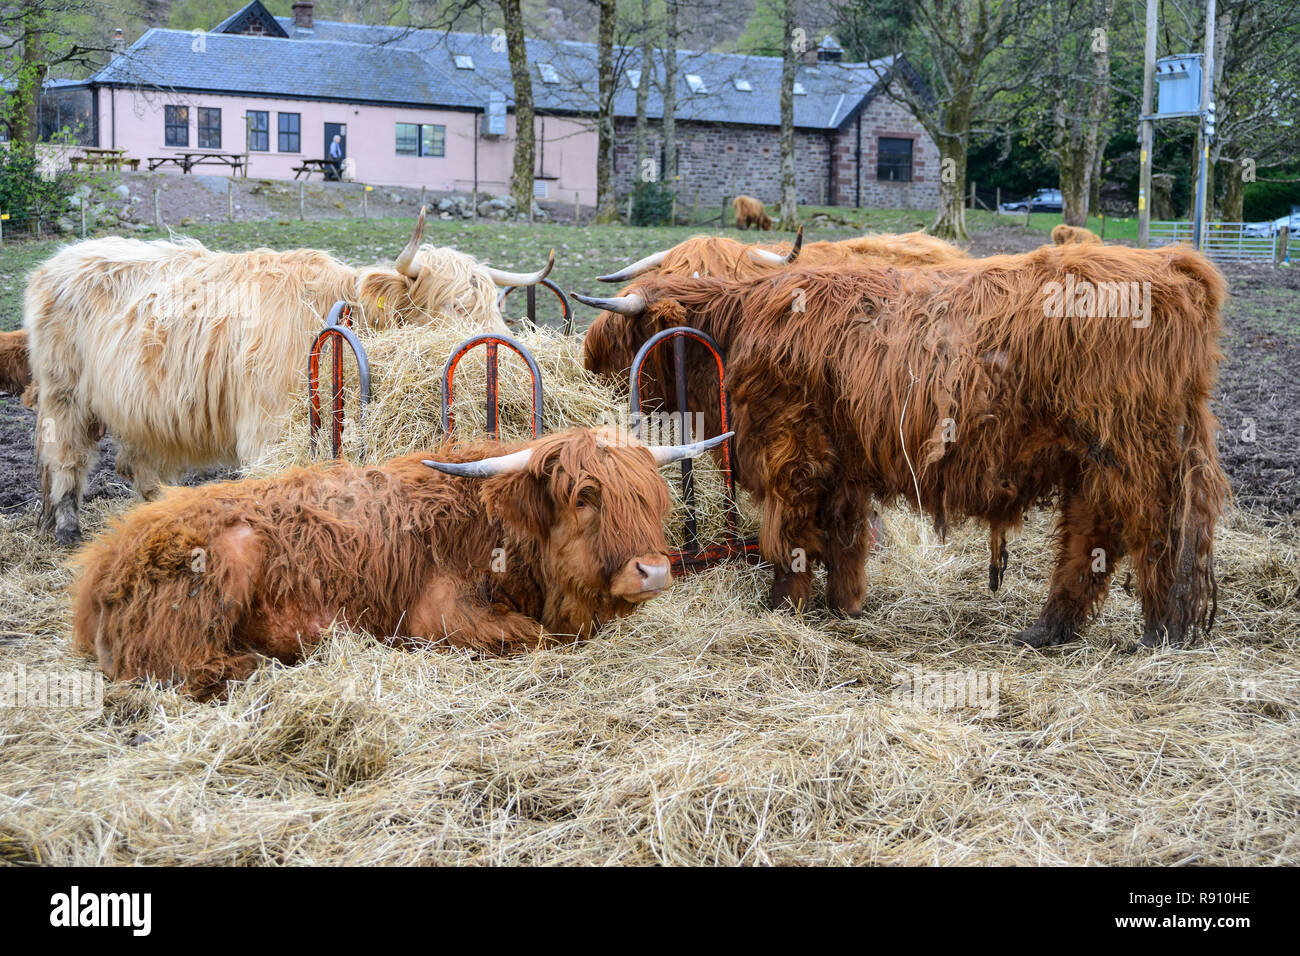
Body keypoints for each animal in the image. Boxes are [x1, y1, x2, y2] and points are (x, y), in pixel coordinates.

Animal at [26, 208, 553, 546]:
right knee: (66, 456)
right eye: (452, 308)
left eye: (494, 306)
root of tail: (59, 259)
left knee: (138, 464)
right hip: (63, 392)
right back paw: (68, 529)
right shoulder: (268, 426)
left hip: (142, 407)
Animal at [73, 429, 733, 697]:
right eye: (584, 496)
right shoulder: (438, 619)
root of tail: (103, 562)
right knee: (184, 668)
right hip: (222, 567)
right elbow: (534, 639)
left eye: (649, 496)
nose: (654, 570)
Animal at [577, 244, 1227, 650]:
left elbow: (790, 539)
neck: (734, 331)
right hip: (1095, 460)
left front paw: (781, 608)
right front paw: (844, 605)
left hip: (1131, 451)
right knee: (1092, 538)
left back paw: (1160, 632)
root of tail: (1174, 265)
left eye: (625, 333)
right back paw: (1048, 632)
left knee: (1156, 534)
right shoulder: (840, 463)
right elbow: (843, 536)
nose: (587, 362)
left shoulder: (792, 453)